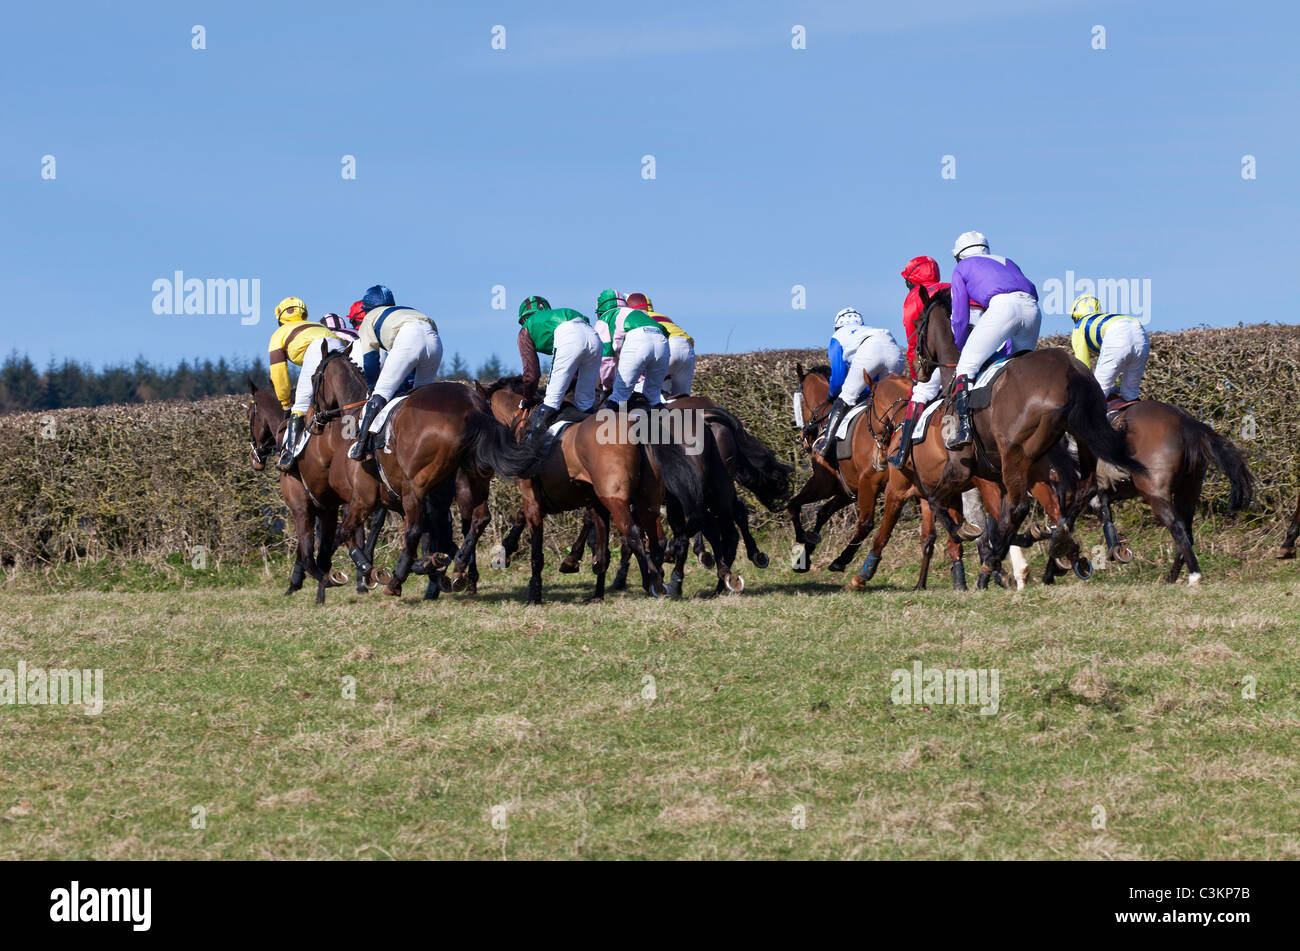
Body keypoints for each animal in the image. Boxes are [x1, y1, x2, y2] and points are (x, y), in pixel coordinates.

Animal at [309, 345, 543, 595]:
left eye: (314, 378)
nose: (313, 421)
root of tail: (471, 408)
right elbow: (440, 540)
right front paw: (438, 566)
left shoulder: (364, 498)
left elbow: (345, 532)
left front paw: (371, 571)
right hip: (472, 480)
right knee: (479, 519)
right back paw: (457, 568)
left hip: (416, 487)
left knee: (414, 531)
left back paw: (397, 580)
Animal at [909, 284, 1144, 579]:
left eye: (919, 322)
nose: (918, 369)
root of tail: (1069, 371)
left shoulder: (961, 467)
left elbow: (936, 500)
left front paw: (966, 532)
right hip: (1081, 438)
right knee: (1085, 488)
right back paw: (1063, 541)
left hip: (1014, 452)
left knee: (1019, 506)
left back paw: (996, 558)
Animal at [1092, 400, 1253, 582]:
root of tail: (1182, 419)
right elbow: (1104, 511)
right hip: (1189, 490)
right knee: (1187, 532)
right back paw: (1172, 579)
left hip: (1156, 493)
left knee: (1177, 527)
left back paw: (1194, 576)